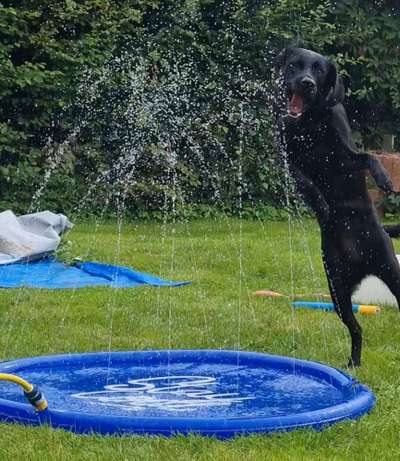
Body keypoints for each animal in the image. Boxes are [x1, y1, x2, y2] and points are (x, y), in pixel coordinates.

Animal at [274, 47, 400, 366]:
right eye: (295, 65)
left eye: (319, 70)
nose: (306, 83)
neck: (310, 122)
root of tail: (361, 265)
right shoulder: (287, 160)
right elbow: (305, 181)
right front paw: (322, 205)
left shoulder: (343, 158)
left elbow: (368, 156)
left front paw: (384, 179)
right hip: (337, 292)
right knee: (356, 328)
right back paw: (353, 362)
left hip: (391, 271)